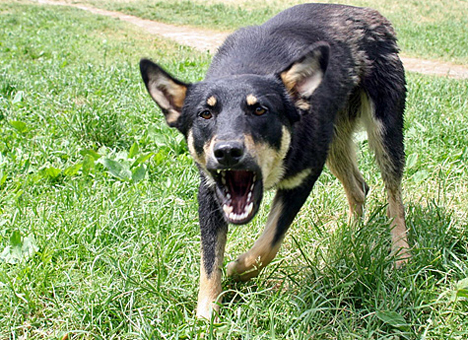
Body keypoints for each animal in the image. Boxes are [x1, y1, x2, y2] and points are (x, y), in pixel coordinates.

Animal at [140, 2, 410, 320]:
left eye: (260, 110)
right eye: (205, 114)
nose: (227, 151)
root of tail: (368, 13)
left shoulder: (303, 178)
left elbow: (268, 243)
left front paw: (239, 270)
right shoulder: (209, 190)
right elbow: (209, 260)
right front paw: (206, 314)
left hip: (383, 130)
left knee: (393, 196)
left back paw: (401, 253)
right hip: (334, 141)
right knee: (359, 187)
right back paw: (353, 235)